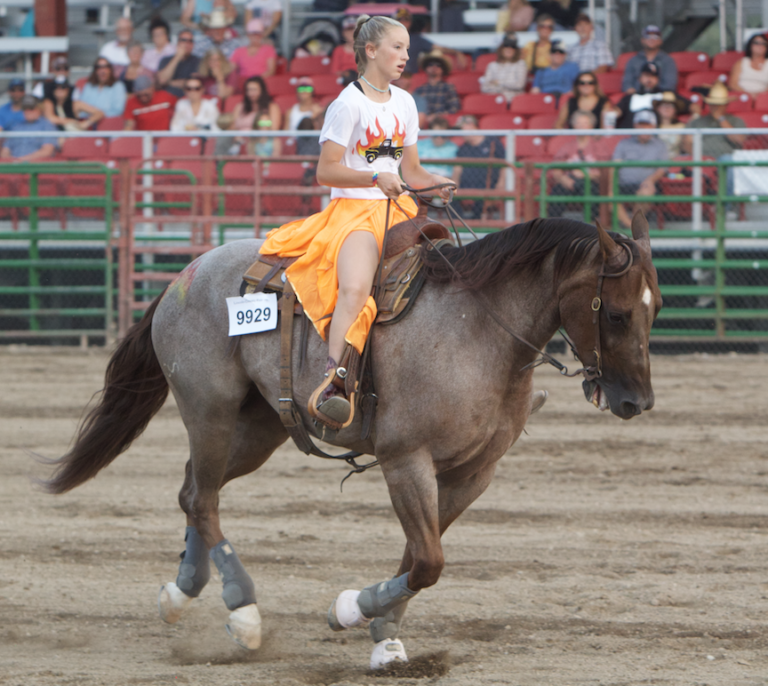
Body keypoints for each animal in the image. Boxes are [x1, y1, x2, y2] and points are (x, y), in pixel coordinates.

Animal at [43, 212, 661, 669]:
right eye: (618, 313)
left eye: (654, 311)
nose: (638, 402)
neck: (476, 329)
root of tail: (186, 272)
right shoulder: (404, 460)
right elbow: (428, 560)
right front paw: (352, 610)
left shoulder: (472, 473)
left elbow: (418, 556)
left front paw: (384, 635)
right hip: (208, 411)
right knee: (202, 498)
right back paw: (244, 613)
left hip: (258, 429)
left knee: (195, 491)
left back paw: (182, 593)